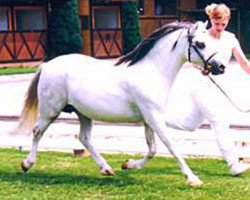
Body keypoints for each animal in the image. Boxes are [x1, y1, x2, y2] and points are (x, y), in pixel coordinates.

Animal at [15, 21, 225, 187]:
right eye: (200, 43)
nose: (221, 67)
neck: (152, 72)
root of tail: (47, 65)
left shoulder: (148, 120)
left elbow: (153, 149)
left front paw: (128, 164)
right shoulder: (154, 118)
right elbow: (170, 145)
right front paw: (193, 179)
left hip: (84, 113)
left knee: (84, 138)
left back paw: (107, 168)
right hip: (50, 111)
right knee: (37, 132)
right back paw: (26, 164)